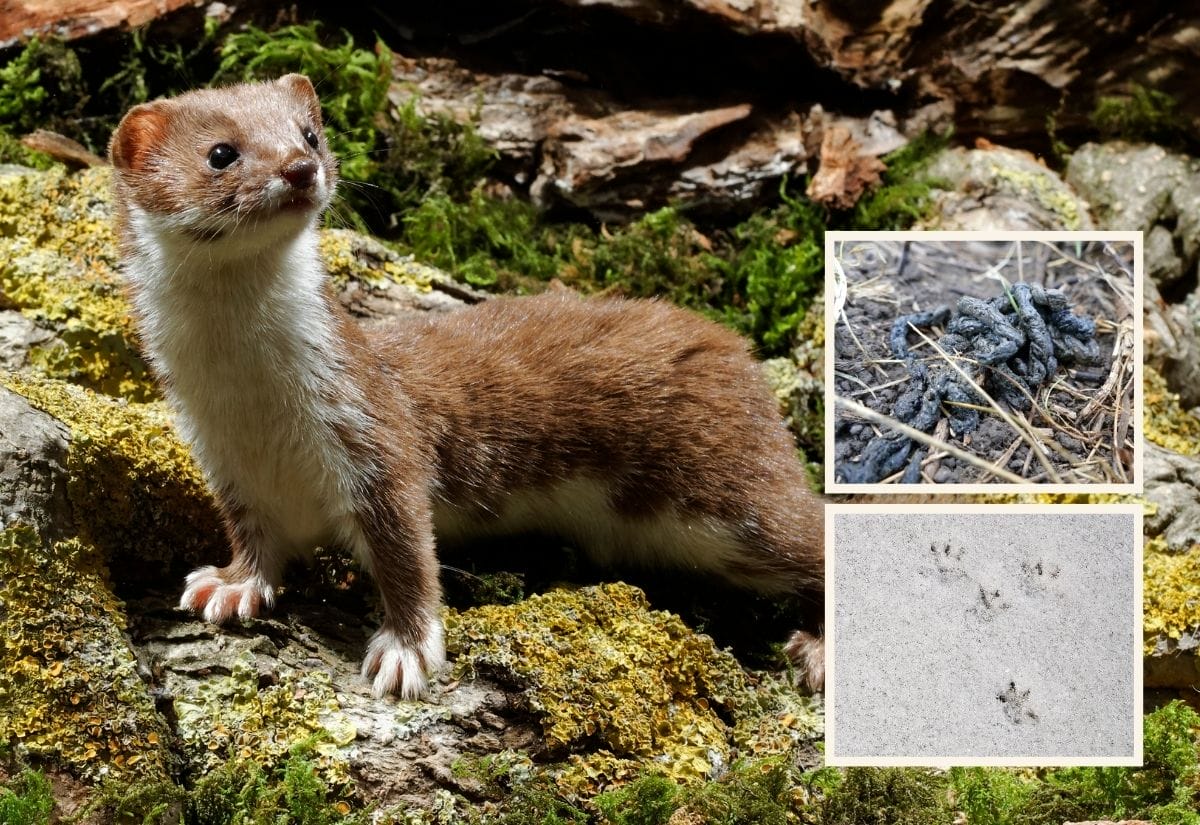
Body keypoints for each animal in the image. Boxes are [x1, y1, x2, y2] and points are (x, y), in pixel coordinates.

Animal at [108, 75, 825, 695]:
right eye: (220, 152)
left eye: (310, 133)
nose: (299, 167)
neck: (255, 403)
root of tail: (734, 349)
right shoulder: (225, 462)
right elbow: (255, 540)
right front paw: (228, 586)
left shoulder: (375, 435)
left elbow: (408, 553)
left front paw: (405, 650)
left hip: (730, 491)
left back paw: (817, 647)